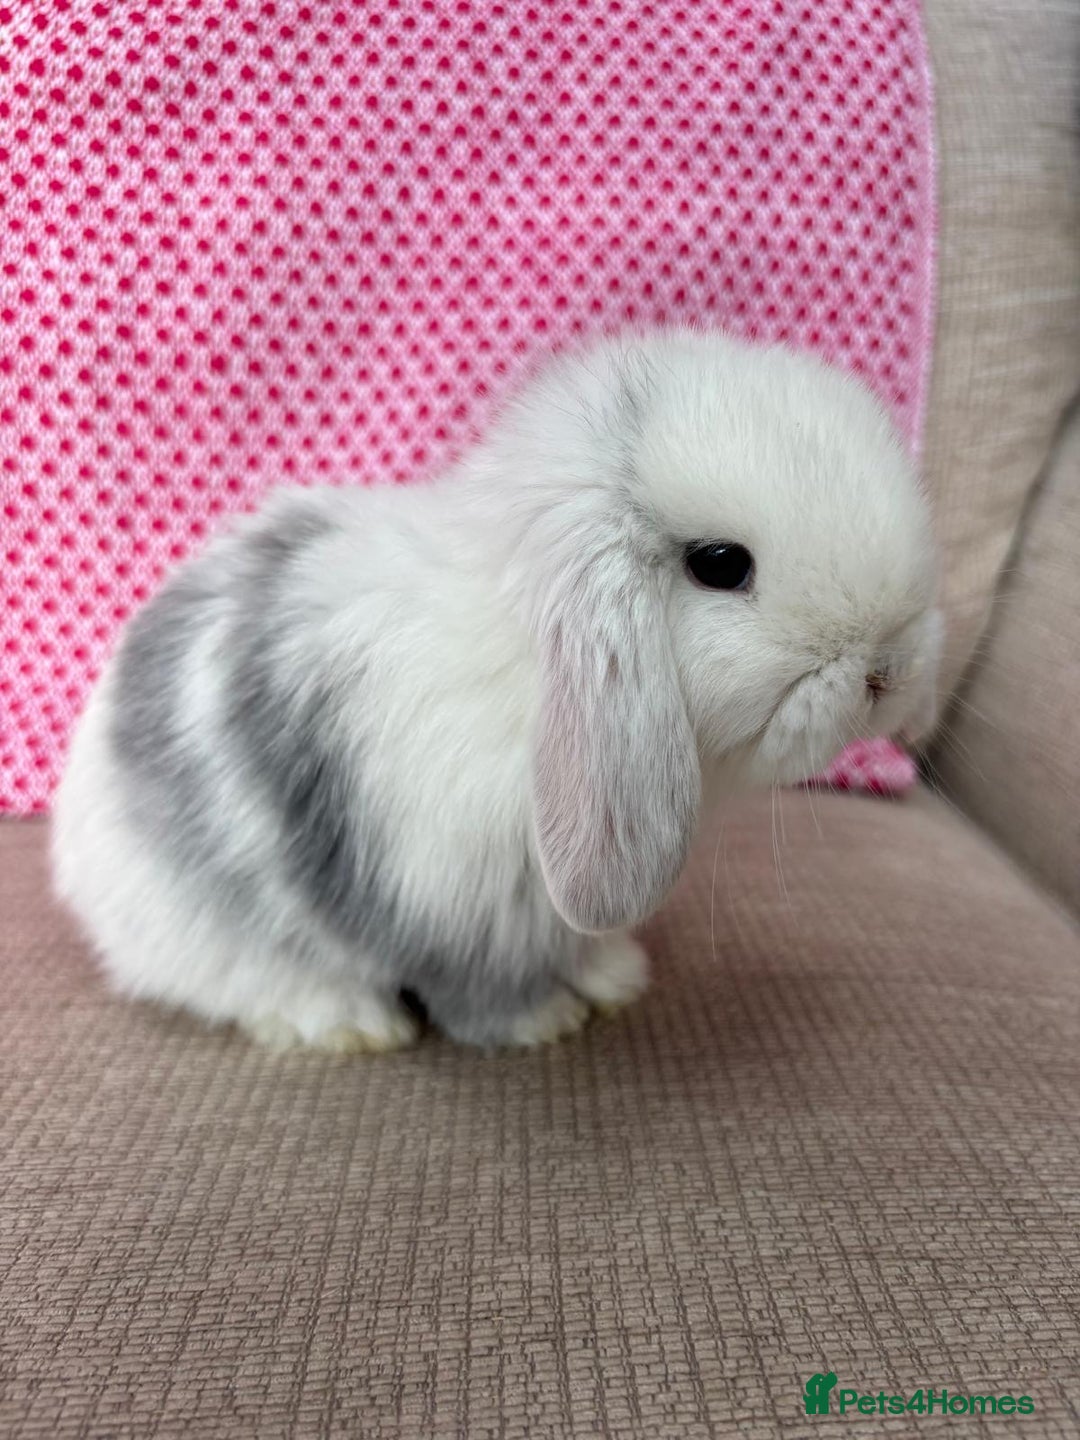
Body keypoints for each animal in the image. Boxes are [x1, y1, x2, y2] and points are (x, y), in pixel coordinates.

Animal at [52, 327, 943, 1053]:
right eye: (720, 564)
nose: (888, 670)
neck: (531, 668)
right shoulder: (451, 900)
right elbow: (475, 988)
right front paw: (541, 1023)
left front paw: (615, 978)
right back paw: (346, 1022)